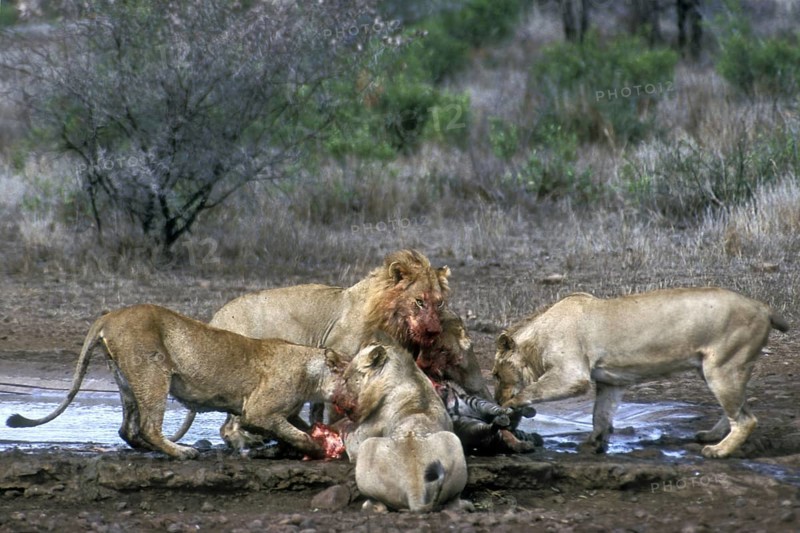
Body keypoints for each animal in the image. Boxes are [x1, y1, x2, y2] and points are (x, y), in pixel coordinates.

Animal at [6, 304, 346, 460]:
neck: (310, 369)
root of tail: (110, 315)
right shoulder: (259, 410)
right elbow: (295, 432)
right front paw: (316, 447)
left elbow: (293, 427)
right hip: (154, 372)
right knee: (148, 427)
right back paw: (182, 452)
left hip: (127, 382)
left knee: (128, 429)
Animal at [332, 342, 469, 513]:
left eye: (345, 379)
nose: (335, 400)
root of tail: (415, 487)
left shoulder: (359, 441)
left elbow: (346, 432)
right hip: (453, 440)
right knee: (453, 503)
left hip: (368, 445)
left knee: (380, 507)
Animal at [492, 288, 789, 459]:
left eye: (495, 374)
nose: (495, 398)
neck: (535, 342)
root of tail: (762, 306)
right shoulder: (610, 382)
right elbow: (600, 414)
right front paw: (594, 445)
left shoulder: (572, 374)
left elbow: (533, 389)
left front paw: (509, 405)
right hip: (719, 369)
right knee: (740, 408)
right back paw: (711, 436)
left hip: (722, 368)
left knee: (747, 418)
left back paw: (718, 451)